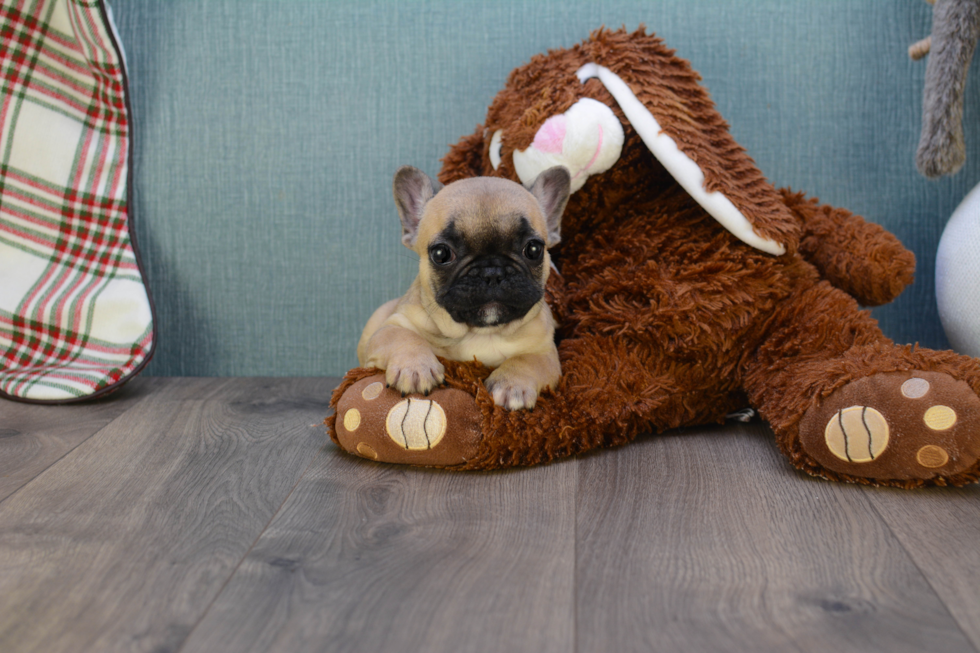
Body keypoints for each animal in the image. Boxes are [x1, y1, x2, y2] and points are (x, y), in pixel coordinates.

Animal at [356, 163, 572, 408]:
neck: (480, 332)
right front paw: (415, 367)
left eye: (533, 249)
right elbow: (403, 337)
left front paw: (512, 384)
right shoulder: (393, 325)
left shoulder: (545, 351)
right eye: (441, 254)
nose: (492, 272)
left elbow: (528, 360)